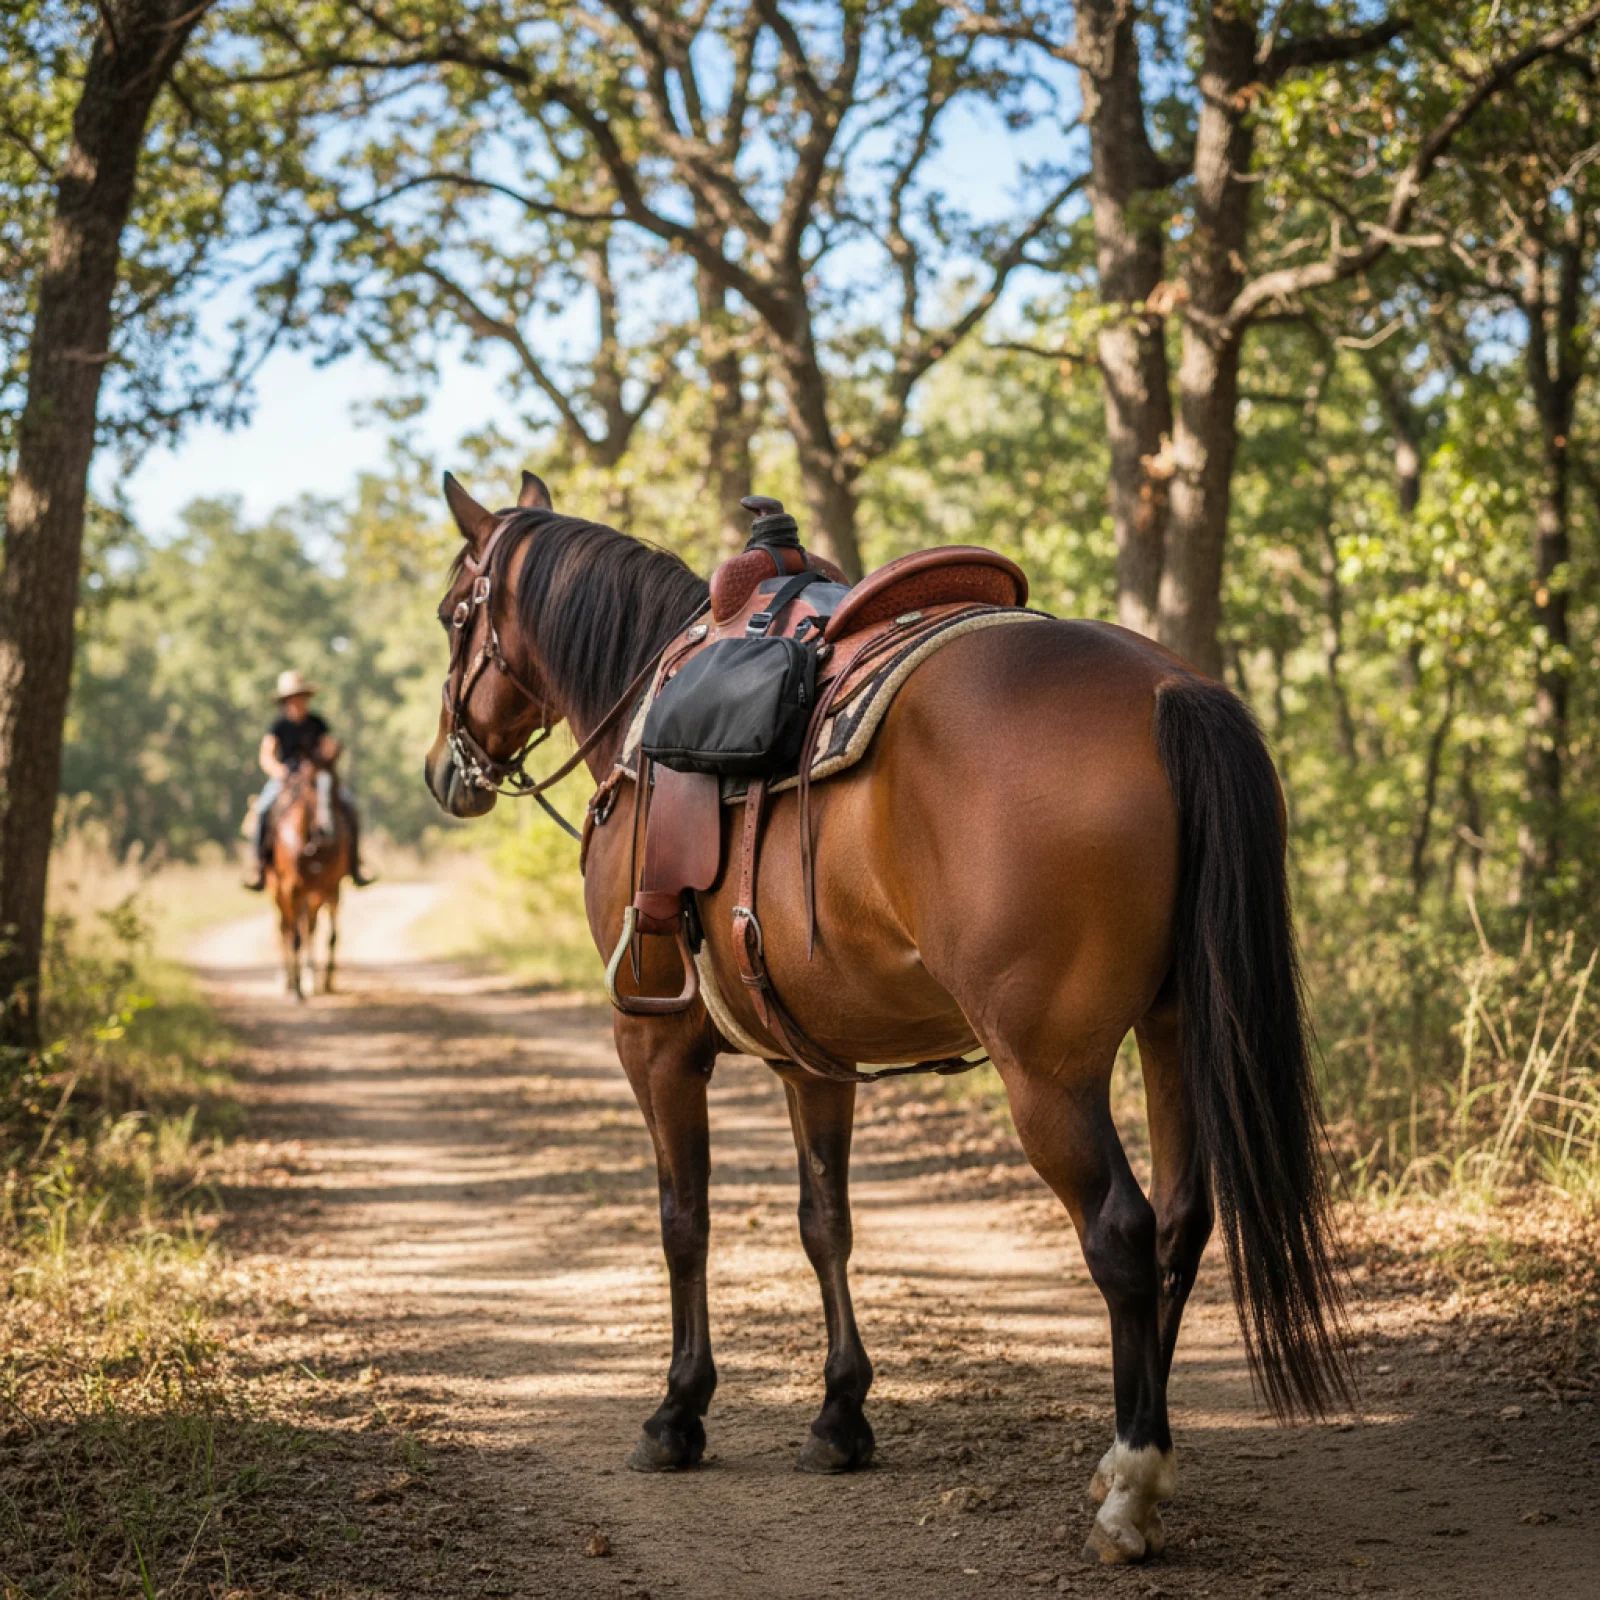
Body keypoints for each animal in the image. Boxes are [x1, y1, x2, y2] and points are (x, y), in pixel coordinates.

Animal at [265, 758, 351, 1000]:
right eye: (311, 785)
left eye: (336, 783)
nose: (328, 829)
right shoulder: (291, 889)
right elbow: (295, 937)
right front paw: (298, 989)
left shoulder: (328, 888)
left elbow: (328, 934)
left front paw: (323, 981)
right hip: (279, 892)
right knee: (285, 929)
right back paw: (291, 981)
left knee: (307, 928)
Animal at [422, 470, 1348, 1563]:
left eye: (453, 614)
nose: (445, 770)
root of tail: (1167, 689)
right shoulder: (812, 1059)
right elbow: (826, 1223)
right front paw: (839, 1415)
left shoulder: (653, 1044)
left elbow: (683, 1220)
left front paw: (678, 1411)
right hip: (1175, 1033)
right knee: (1178, 1223)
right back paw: (1129, 1455)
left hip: (1048, 1069)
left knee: (1121, 1232)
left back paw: (1131, 1484)